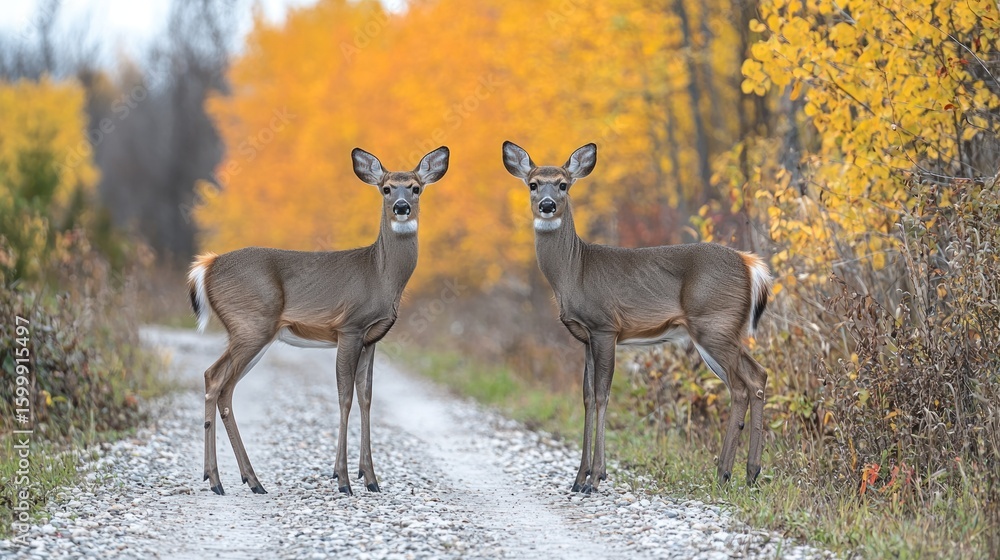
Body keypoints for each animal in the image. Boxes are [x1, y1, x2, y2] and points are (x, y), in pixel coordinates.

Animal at [187, 146, 449, 496]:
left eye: (416, 187)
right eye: (386, 188)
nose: (402, 207)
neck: (381, 276)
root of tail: (208, 265)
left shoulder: (372, 338)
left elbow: (366, 397)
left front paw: (371, 478)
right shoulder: (349, 327)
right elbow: (345, 397)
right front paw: (343, 479)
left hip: (250, 332)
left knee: (214, 379)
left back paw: (238, 480)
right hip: (251, 324)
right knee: (220, 383)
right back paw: (228, 481)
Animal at [502, 141, 772, 494]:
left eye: (563, 185)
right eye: (533, 184)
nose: (547, 205)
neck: (574, 271)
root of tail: (749, 263)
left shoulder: (605, 327)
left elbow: (603, 395)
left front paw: (596, 477)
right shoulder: (585, 338)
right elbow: (586, 397)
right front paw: (578, 478)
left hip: (714, 324)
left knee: (742, 385)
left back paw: (727, 472)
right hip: (722, 332)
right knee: (756, 376)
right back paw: (748, 473)